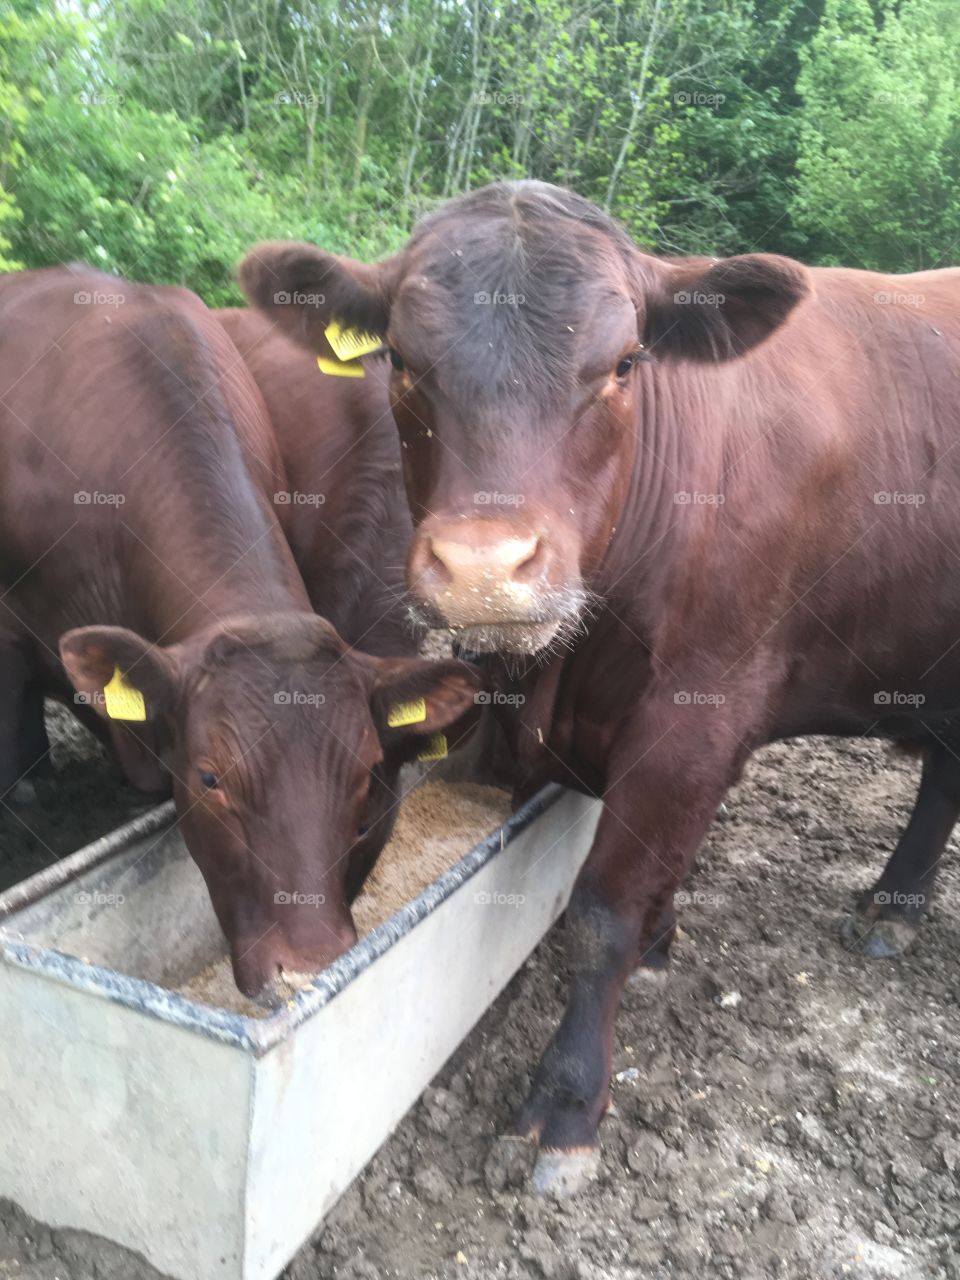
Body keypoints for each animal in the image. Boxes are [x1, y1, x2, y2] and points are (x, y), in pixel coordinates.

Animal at [241, 179, 960, 1191]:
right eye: (404, 363)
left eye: (624, 365)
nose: (485, 569)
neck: (569, 670)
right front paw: (662, 938)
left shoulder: (697, 719)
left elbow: (600, 915)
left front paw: (567, 1104)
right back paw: (894, 908)